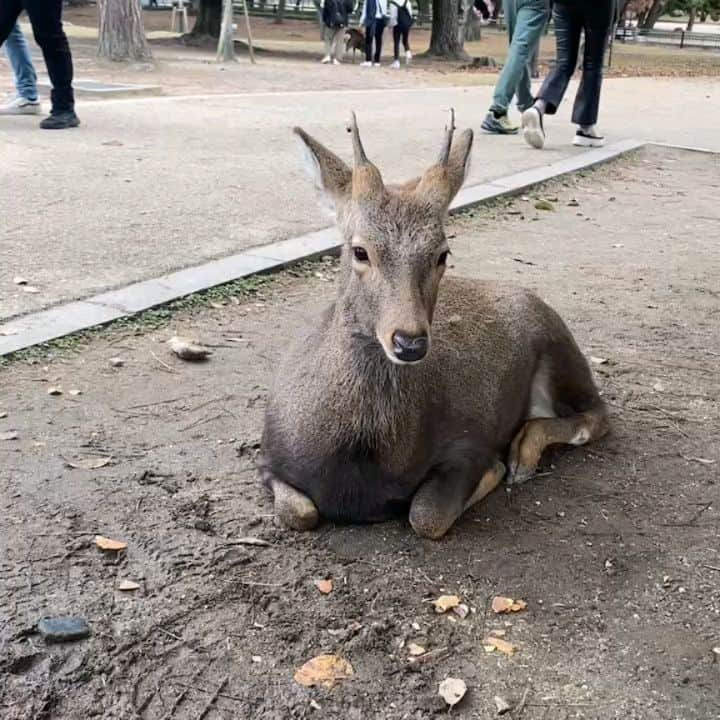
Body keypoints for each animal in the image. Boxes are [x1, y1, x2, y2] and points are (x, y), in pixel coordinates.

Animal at [258, 112, 608, 536]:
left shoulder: (466, 442)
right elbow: (300, 512)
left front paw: (496, 468)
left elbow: (426, 515)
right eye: (360, 250)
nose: (409, 342)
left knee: (597, 412)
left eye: (443, 253)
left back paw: (523, 454)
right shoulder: (268, 457)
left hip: (560, 344)